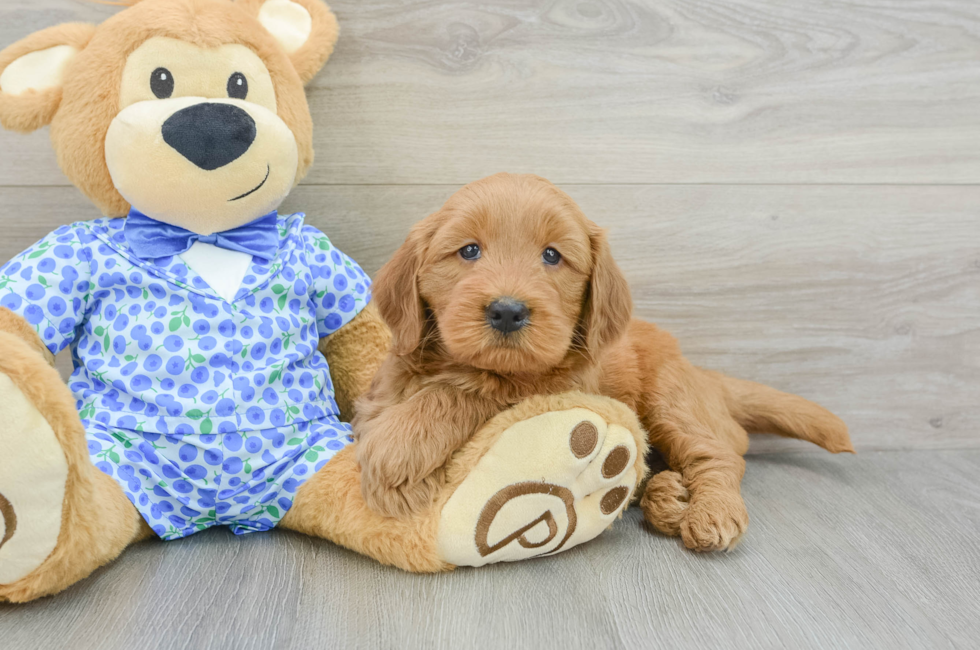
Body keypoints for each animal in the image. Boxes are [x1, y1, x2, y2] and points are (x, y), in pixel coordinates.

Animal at [352, 173, 848, 552]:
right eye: (469, 250)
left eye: (552, 255)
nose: (508, 311)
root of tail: (701, 373)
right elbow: (382, 406)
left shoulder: (547, 386)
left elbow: (468, 390)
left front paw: (397, 453)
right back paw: (665, 495)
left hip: (670, 400)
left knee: (720, 455)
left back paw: (710, 512)